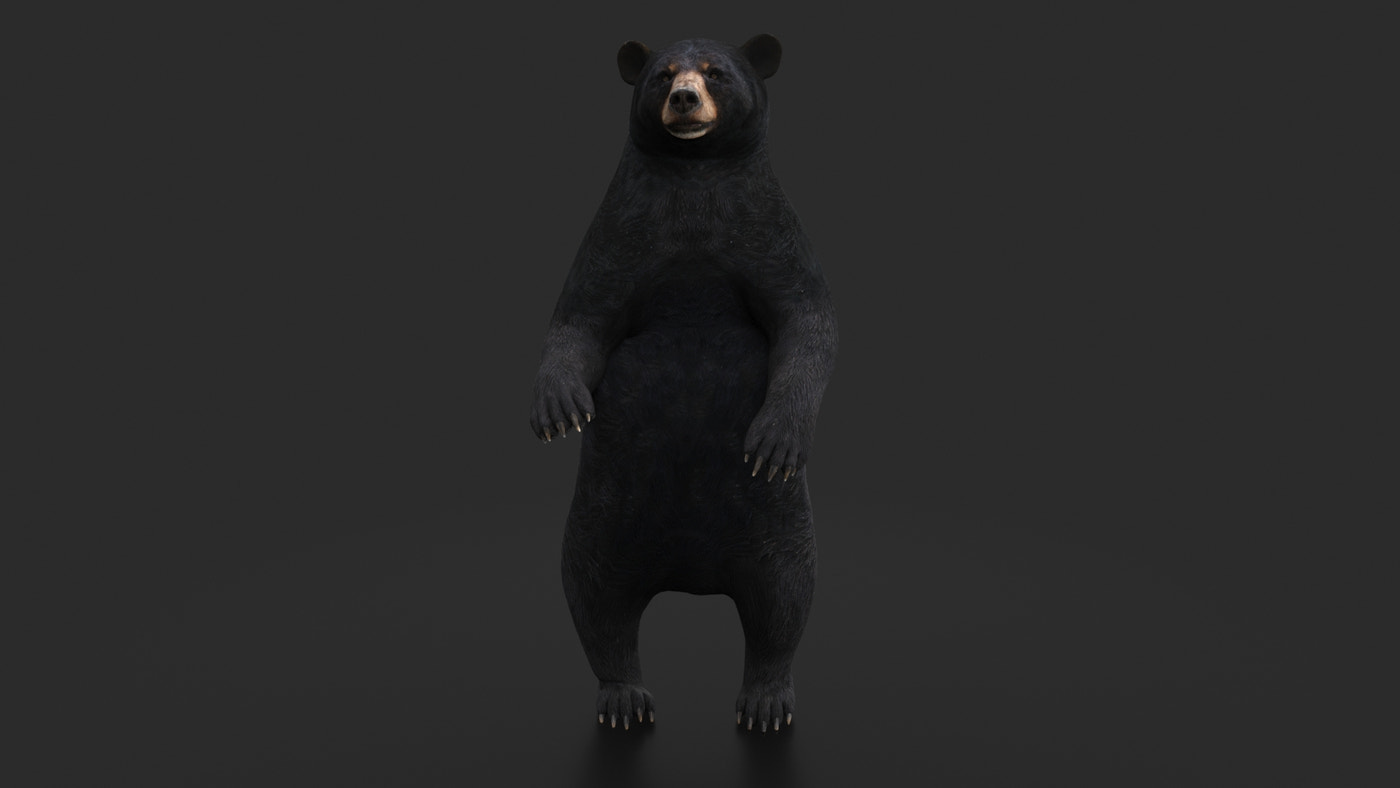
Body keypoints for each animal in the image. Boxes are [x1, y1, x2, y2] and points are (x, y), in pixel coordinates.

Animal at [529, 33, 837, 734]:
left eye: (717, 73)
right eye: (662, 73)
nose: (685, 99)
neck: (694, 173)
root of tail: (692, 576)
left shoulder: (767, 231)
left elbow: (807, 318)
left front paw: (775, 440)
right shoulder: (624, 231)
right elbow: (581, 316)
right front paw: (560, 408)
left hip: (775, 524)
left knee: (786, 593)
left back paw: (766, 700)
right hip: (604, 516)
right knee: (593, 591)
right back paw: (623, 697)